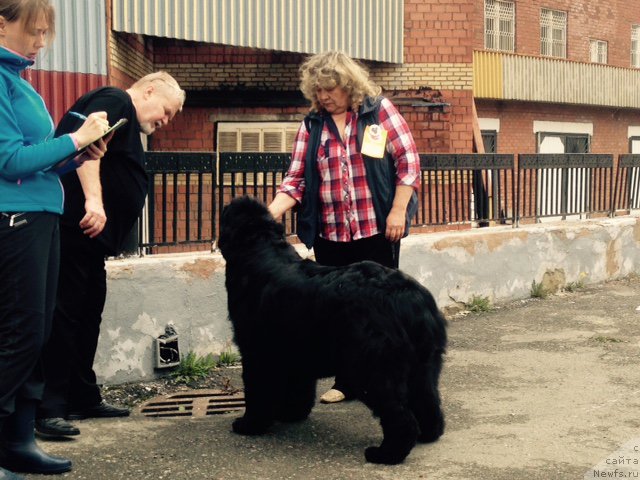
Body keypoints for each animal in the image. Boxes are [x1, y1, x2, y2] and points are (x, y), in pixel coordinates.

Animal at [218, 196, 448, 464]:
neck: (260, 249)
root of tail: (410, 298)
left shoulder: (257, 350)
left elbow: (257, 389)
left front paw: (249, 424)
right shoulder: (297, 349)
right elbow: (299, 386)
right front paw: (291, 413)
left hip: (374, 367)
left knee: (399, 414)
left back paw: (385, 453)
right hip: (424, 364)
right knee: (427, 400)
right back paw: (428, 434)